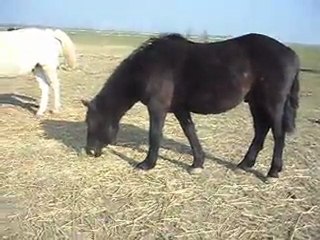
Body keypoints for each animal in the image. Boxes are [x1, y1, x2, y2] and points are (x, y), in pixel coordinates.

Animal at [80, 33, 300, 180]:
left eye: (94, 123)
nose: (89, 151)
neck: (149, 65)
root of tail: (290, 53)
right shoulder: (180, 109)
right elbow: (190, 132)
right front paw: (198, 163)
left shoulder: (157, 108)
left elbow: (155, 135)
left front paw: (147, 164)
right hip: (256, 102)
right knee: (261, 130)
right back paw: (244, 164)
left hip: (273, 103)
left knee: (278, 134)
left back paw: (272, 172)